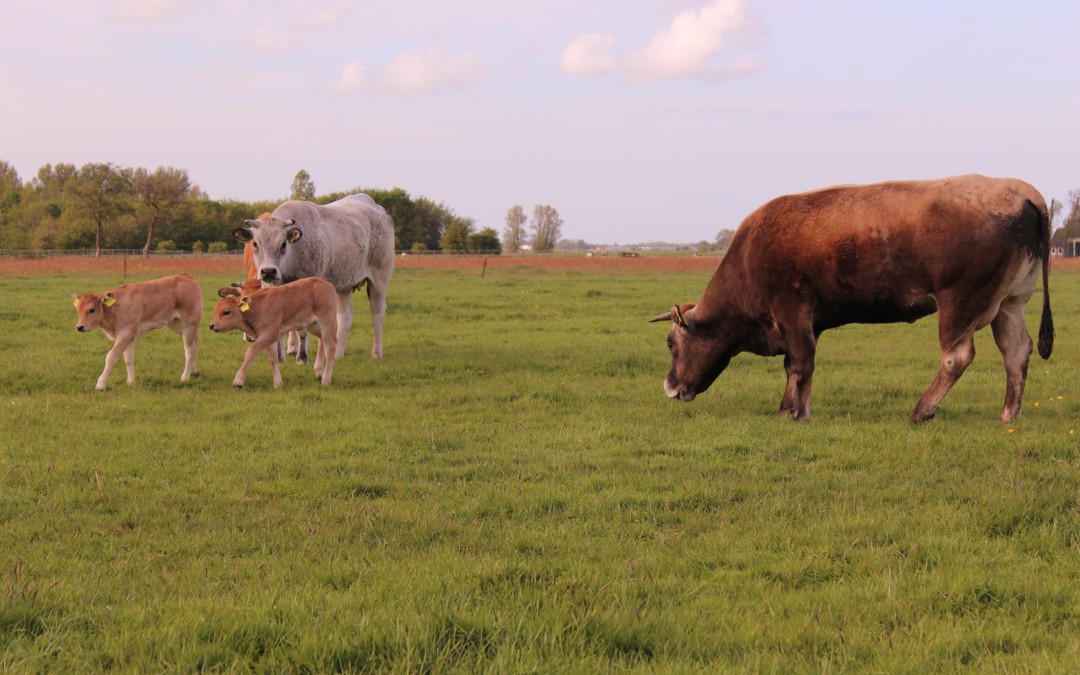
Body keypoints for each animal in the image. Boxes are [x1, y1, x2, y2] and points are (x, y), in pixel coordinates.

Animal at [71, 272, 203, 388]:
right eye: (78, 310)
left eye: (92, 310)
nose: (79, 327)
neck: (114, 309)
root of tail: (185, 276)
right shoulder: (128, 336)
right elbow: (128, 359)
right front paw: (131, 382)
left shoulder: (125, 333)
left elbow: (111, 356)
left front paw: (101, 384)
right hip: (176, 325)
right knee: (194, 344)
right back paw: (194, 371)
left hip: (189, 324)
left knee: (190, 350)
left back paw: (185, 377)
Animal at [652, 176, 1049, 423]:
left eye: (671, 344)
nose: (669, 386)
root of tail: (1021, 191)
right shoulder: (806, 322)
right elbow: (793, 365)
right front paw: (785, 408)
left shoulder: (792, 308)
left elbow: (802, 362)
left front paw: (799, 414)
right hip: (1011, 303)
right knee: (1016, 351)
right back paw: (1008, 414)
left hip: (959, 303)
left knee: (957, 357)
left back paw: (922, 410)